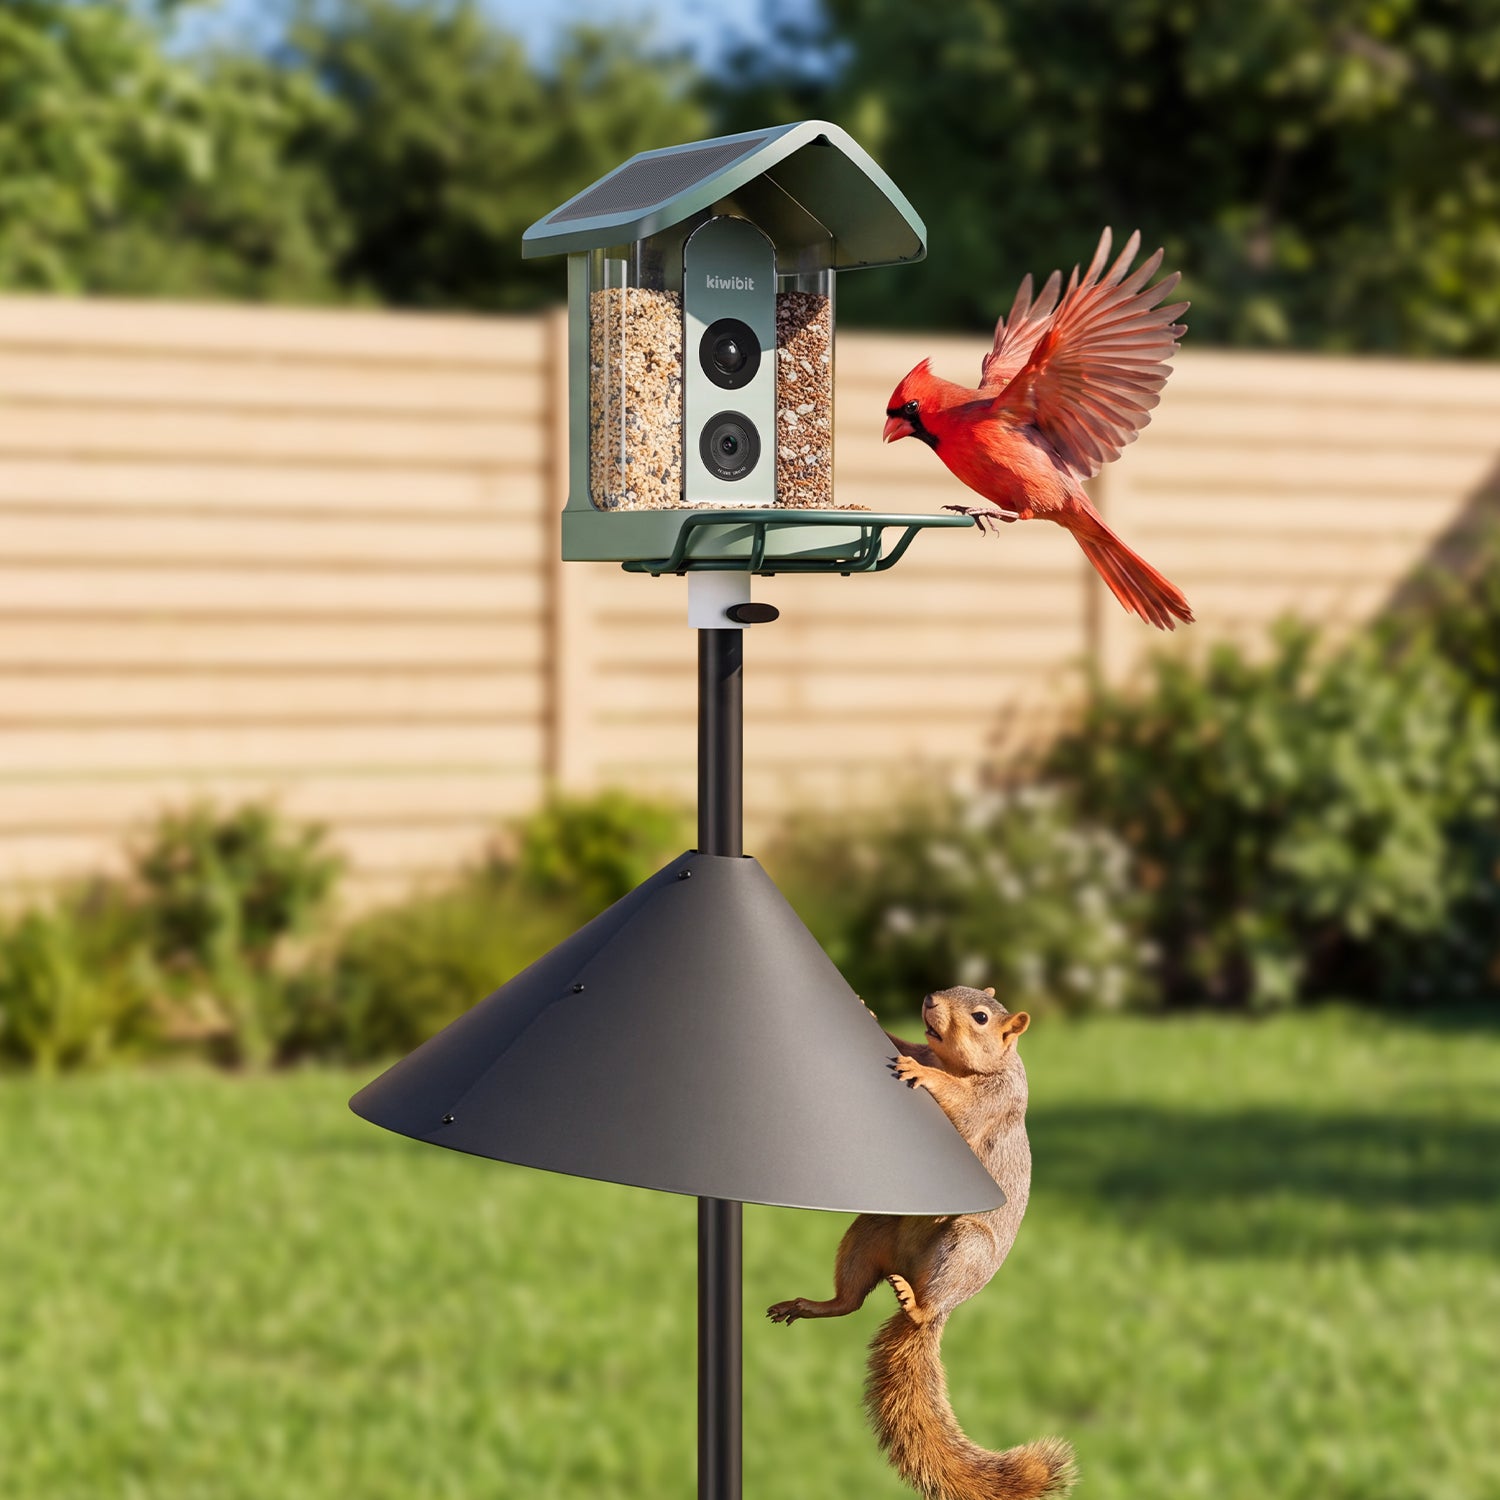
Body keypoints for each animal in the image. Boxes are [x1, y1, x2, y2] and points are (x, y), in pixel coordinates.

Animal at [766, 985, 1076, 1500]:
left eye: (981, 1016)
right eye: (952, 988)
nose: (930, 998)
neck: (963, 1063)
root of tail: (929, 1289)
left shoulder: (993, 1101)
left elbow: (960, 1103)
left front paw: (924, 1074)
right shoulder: (928, 1047)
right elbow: (908, 1044)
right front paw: (872, 1013)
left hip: (963, 1248)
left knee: (916, 1305)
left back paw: (914, 1305)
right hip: (869, 1233)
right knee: (850, 1301)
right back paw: (815, 1304)